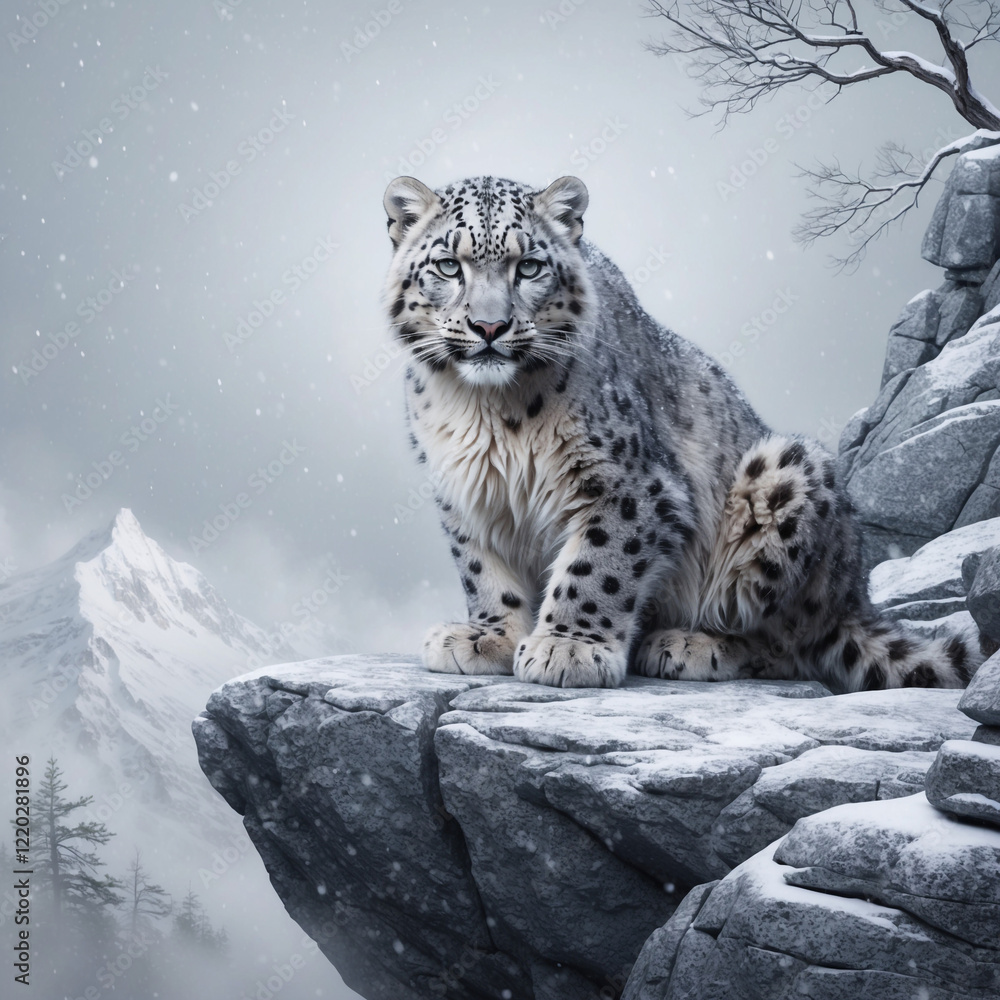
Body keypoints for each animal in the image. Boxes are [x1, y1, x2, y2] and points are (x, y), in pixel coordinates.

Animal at [380, 172, 983, 692]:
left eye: (528, 267)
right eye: (448, 265)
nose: (489, 326)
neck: (484, 413)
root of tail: (853, 596)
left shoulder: (633, 485)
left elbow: (597, 563)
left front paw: (569, 647)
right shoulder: (463, 486)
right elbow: (481, 566)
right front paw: (489, 637)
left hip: (787, 473)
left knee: (791, 643)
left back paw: (692, 644)